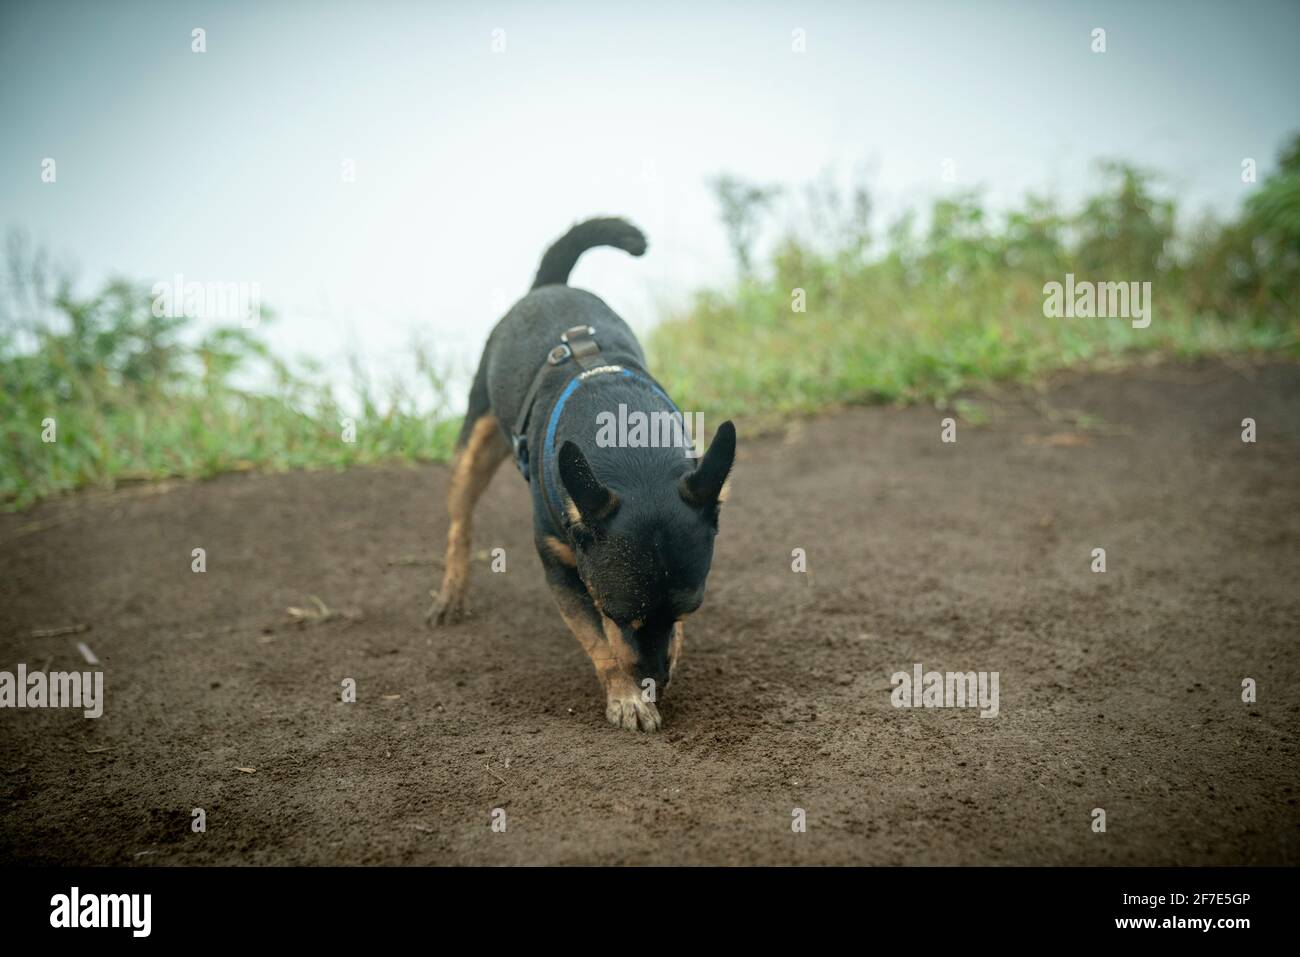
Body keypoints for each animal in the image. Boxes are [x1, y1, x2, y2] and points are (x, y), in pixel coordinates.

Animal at [423, 218, 733, 733]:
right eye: (616, 610)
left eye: (689, 607)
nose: (655, 682)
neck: (628, 446)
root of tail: (549, 286)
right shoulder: (560, 571)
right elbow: (601, 644)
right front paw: (627, 697)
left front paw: (668, 660)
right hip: (476, 442)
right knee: (459, 522)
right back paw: (450, 593)